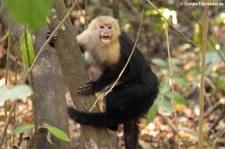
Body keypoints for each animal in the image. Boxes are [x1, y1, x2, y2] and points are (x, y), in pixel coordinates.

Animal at [66, 15, 159, 148]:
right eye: (102, 27)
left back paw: (112, 126)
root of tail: (154, 82)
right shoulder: (88, 36)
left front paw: (94, 86)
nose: (106, 31)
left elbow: (118, 68)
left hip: (142, 89)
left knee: (113, 97)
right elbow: (78, 46)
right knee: (130, 122)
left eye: (109, 27)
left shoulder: (116, 46)